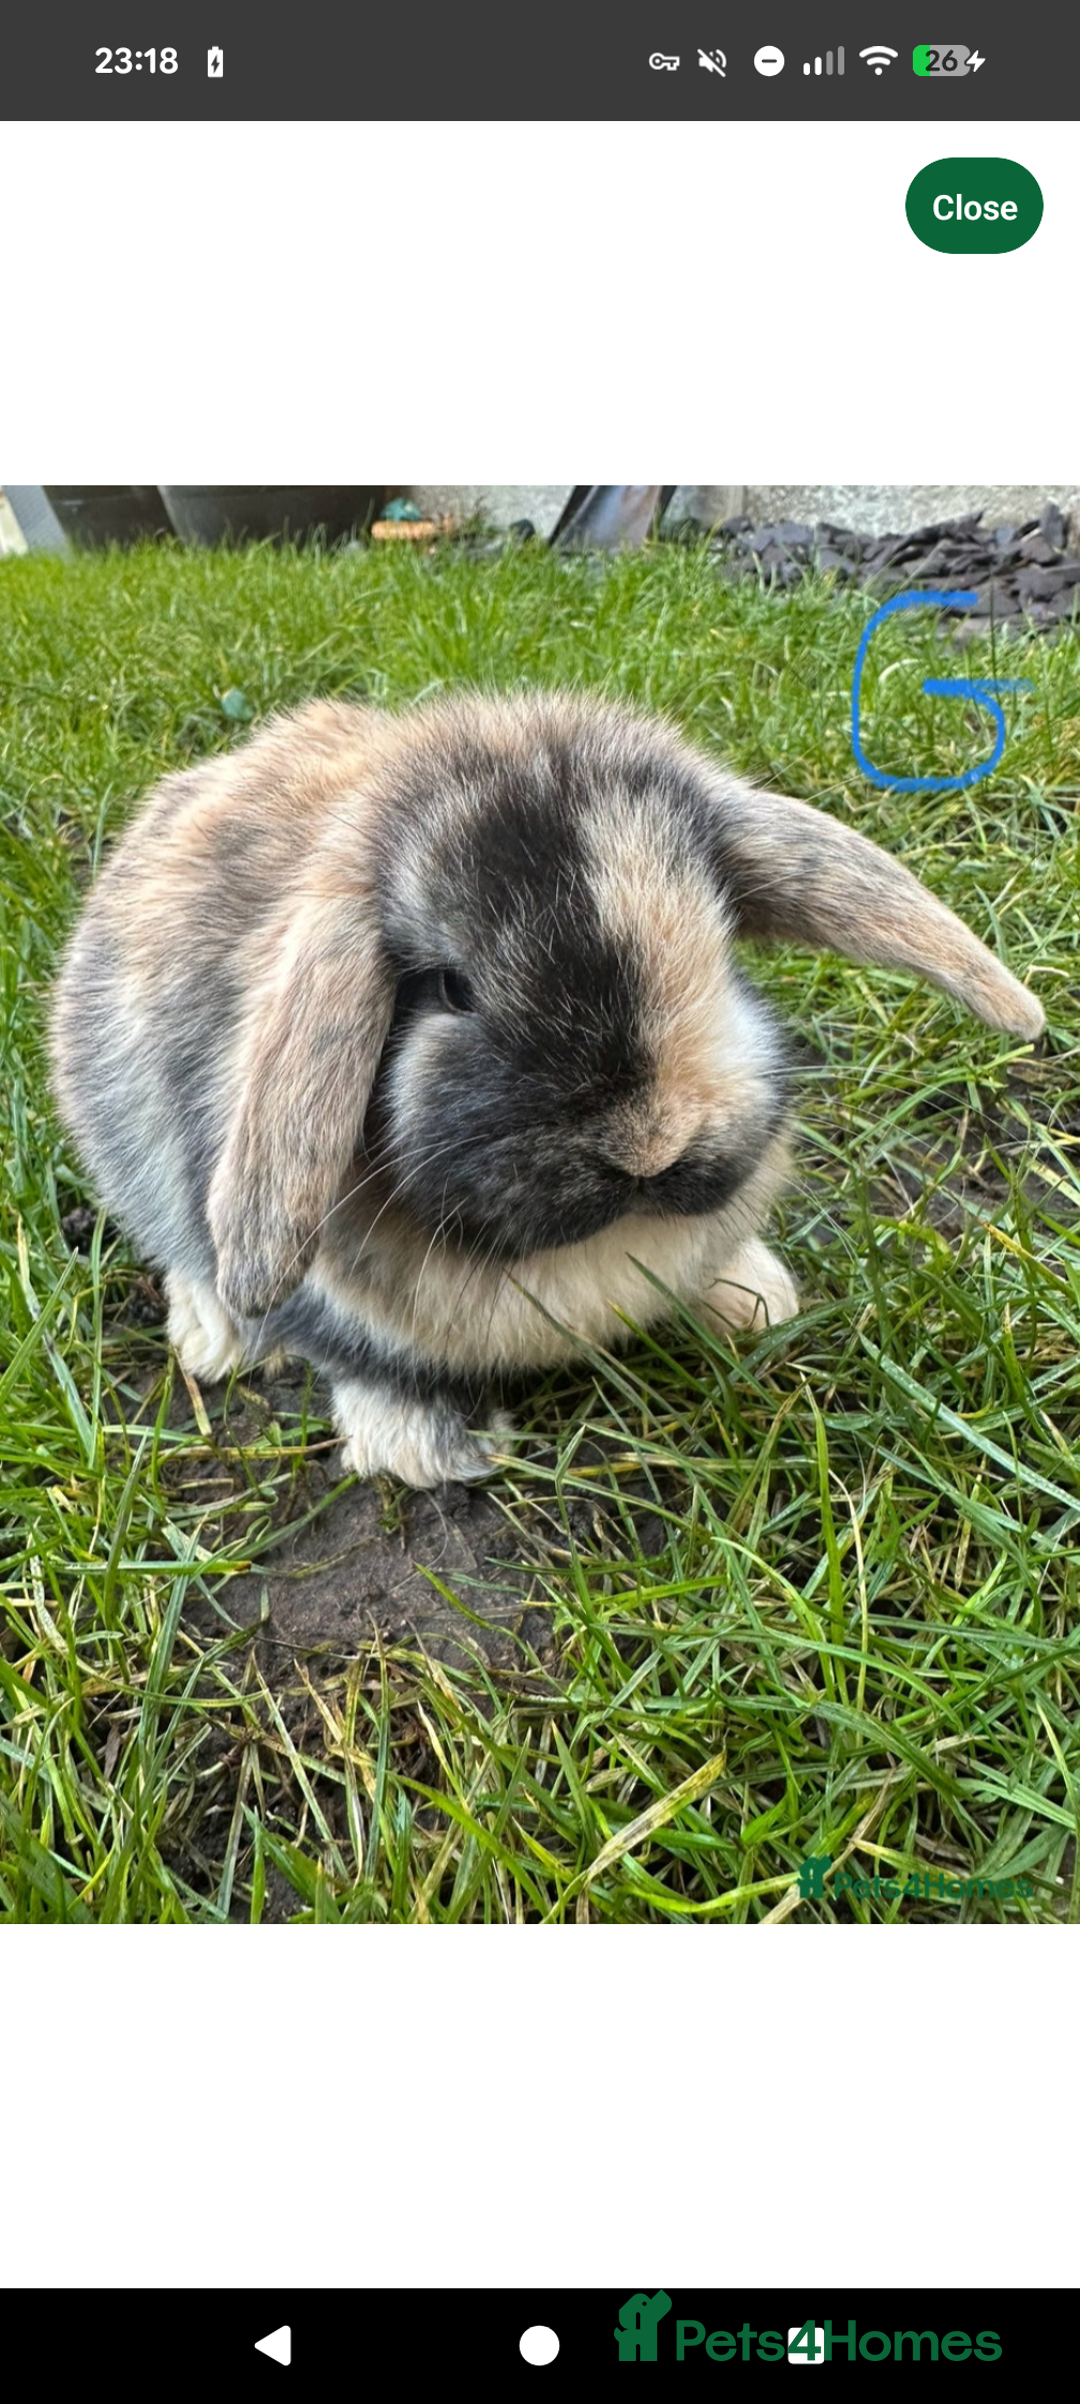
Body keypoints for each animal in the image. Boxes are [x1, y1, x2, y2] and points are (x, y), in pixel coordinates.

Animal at [50, 689, 1045, 1489]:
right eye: (452, 988)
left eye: (719, 941)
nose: (650, 1143)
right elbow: (375, 1364)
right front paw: (428, 1453)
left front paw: (755, 1298)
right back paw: (215, 1337)